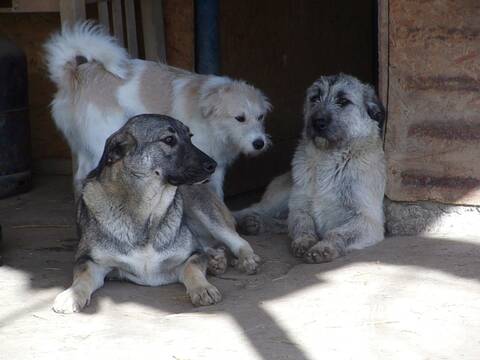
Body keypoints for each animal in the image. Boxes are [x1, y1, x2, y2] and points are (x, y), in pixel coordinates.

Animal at [44, 22, 270, 198]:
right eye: (239, 118)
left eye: (260, 117)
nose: (259, 143)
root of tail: (77, 74)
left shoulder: (216, 168)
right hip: (103, 141)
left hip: (85, 148)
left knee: (81, 178)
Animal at [53, 114, 258, 312]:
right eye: (169, 140)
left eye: (190, 137)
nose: (213, 165)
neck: (147, 212)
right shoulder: (91, 261)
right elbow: (83, 276)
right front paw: (71, 295)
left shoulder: (191, 256)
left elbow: (192, 268)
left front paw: (202, 288)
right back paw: (216, 260)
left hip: (204, 212)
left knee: (237, 241)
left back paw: (246, 259)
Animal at [234, 74, 388, 262]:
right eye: (314, 98)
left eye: (343, 101)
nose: (317, 122)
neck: (329, 159)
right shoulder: (300, 206)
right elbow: (302, 225)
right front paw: (304, 241)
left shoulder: (368, 220)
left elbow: (337, 233)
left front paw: (323, 247)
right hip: (280, 198)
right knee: (254, 210)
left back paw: (255, 224)